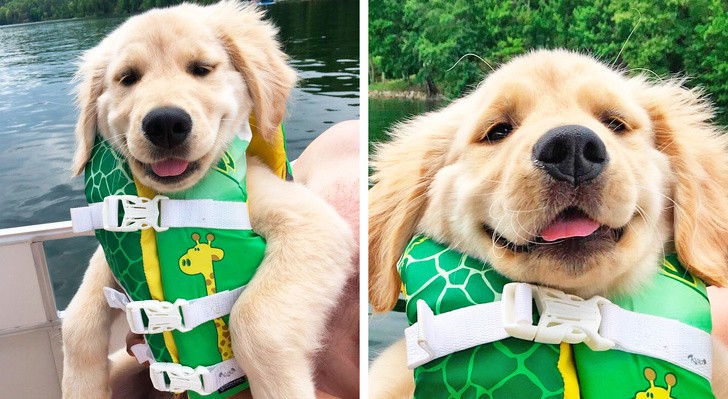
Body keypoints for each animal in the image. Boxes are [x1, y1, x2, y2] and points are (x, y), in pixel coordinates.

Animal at [64, 1, 354, 398]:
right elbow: (76, 322)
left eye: (201, 69)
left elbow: (253, 321)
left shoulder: (313, 225)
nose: (165, 124)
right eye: (128, 78)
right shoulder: (114, 232)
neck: (168, 199)